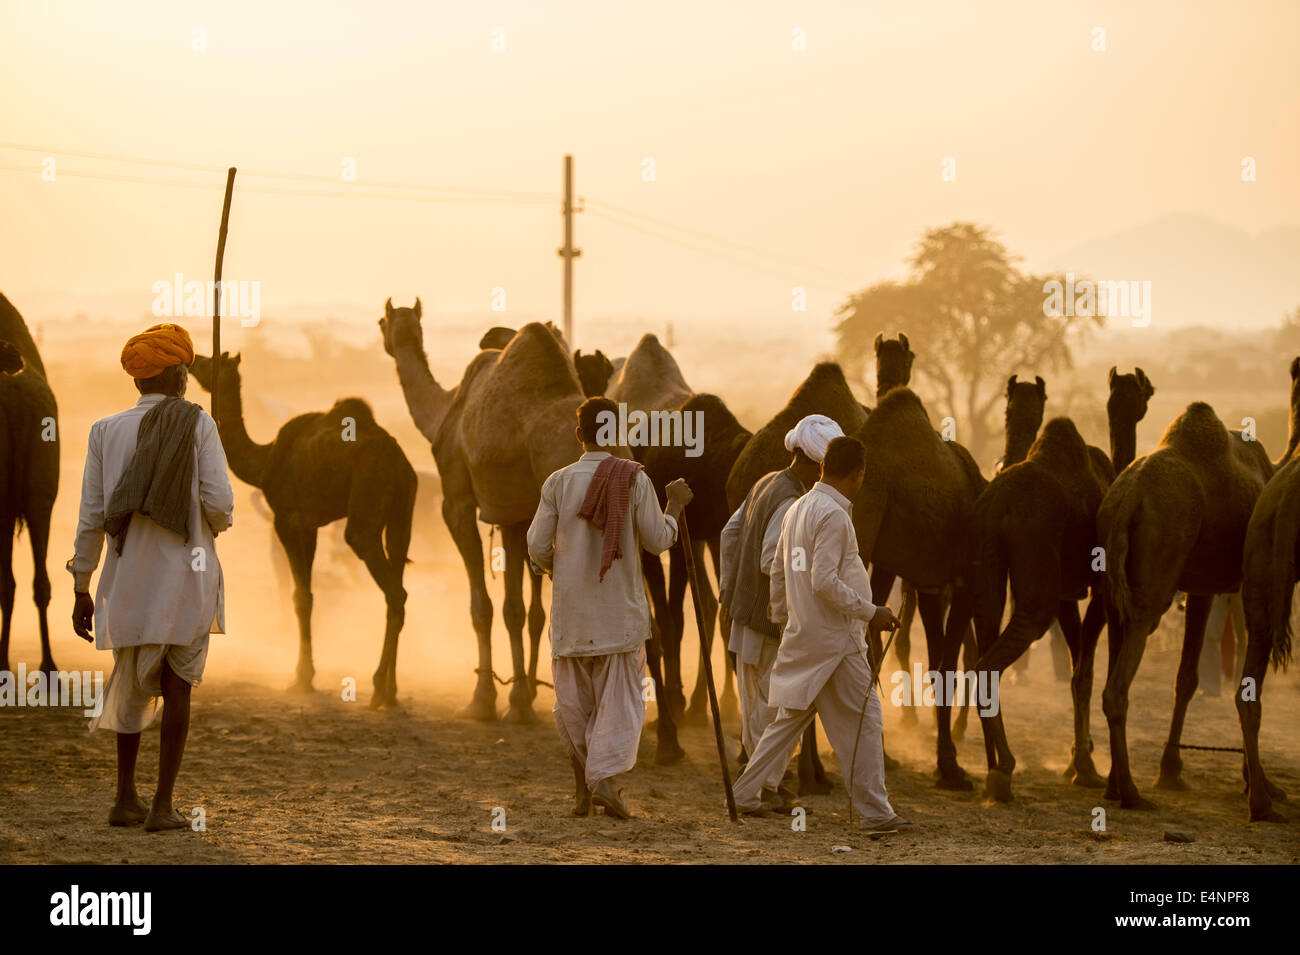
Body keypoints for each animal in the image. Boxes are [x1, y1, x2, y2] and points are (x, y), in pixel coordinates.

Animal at [190, 353, 415, 708]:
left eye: (210, 362)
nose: (192, 359)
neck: (264, 458)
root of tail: (400, 463)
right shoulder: (310, 524)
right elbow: (307, 594)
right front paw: (305, 675)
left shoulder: (287, 518)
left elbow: (300, 596)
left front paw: (301, 678)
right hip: (402, 516)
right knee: (399, 574)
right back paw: (392, 692)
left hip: (367, 502)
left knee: (391, 586)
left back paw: (379, 687)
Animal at [379, 299, 584, 723]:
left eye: (380, 321)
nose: (385, 336)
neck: (446, 409)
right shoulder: (514, 515)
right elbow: (518, 610)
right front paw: (520, 700)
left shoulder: (456, 502)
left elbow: (484, 607)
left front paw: (483, 699)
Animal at [1097, 402, 1272, 808]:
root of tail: (1127, 499)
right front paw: (1259, 785)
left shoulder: (1203, 586)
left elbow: (1187, 677)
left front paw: (1171, 771)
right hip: (1158, 568)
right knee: (1118, 686)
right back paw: (1131, 792)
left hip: (1112, 578)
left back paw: (1115, 785)